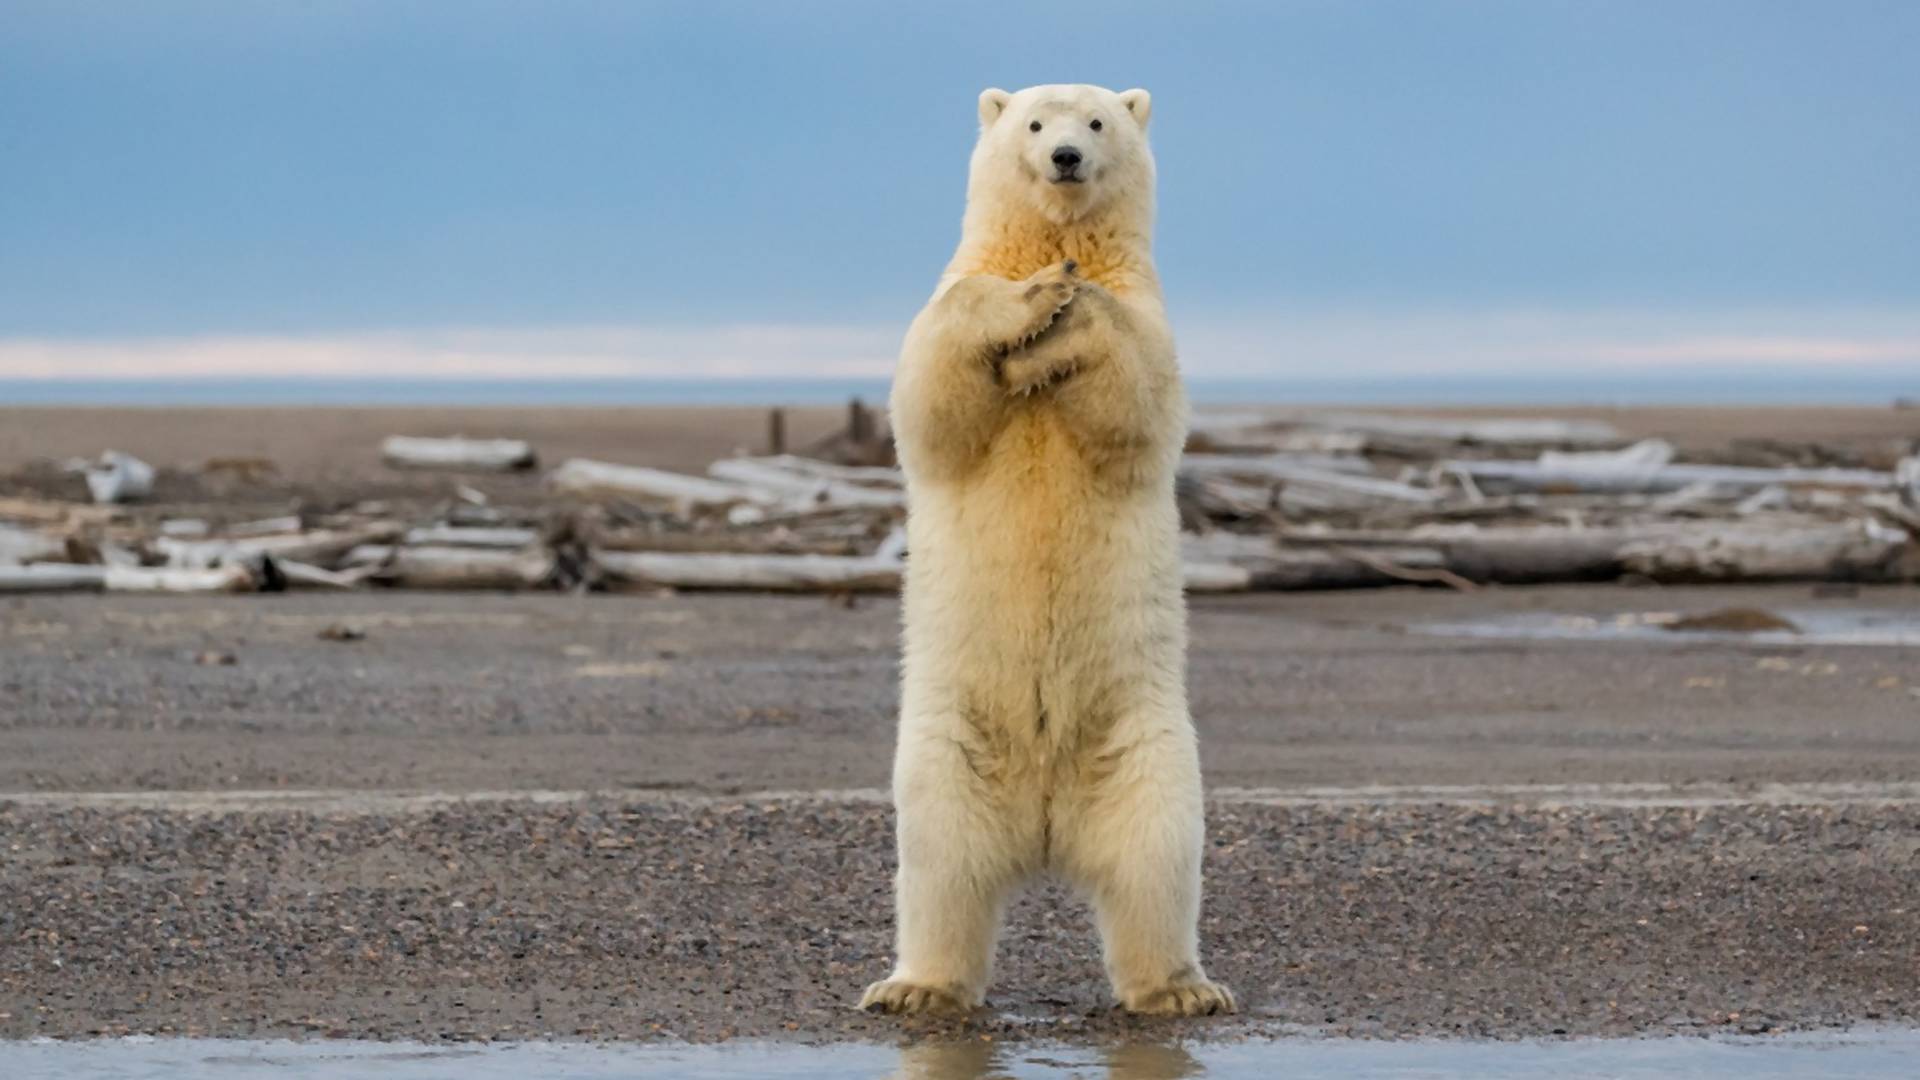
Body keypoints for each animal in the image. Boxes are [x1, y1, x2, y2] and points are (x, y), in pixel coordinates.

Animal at [864, 85, 1236, 1014]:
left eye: (1097, 122)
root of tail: (1044, 828)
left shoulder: (1151, 316)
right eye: (1034, 123)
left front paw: (1069, 311)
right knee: (940, 868)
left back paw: (1181, 989)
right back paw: (915, 987)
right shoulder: (953, 291)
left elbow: (1136, 393)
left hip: (1146, 747)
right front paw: (1037, 300)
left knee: (1155, 862)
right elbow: (934, 390)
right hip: (947, 747)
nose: (1066, 157)